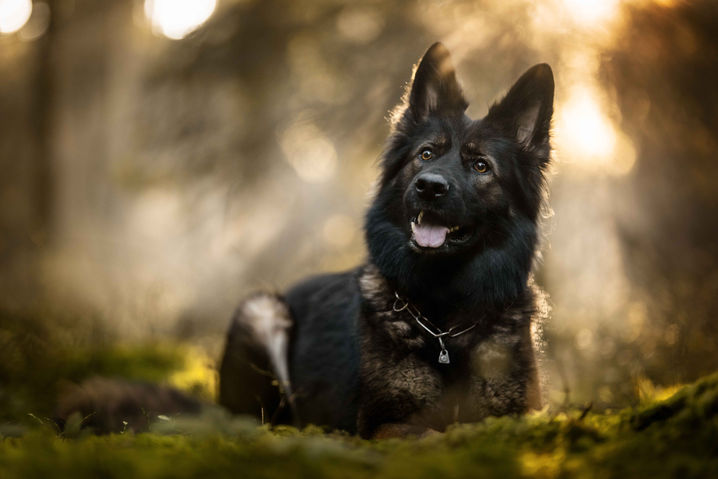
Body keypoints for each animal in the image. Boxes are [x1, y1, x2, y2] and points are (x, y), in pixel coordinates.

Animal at [219, 43, 554, 438]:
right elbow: (433, 435)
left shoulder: (518, 415)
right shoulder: (385, 424)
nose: (429, 187)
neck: (443, 324)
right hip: (260, 311)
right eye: (426, 154)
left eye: (481, 166)